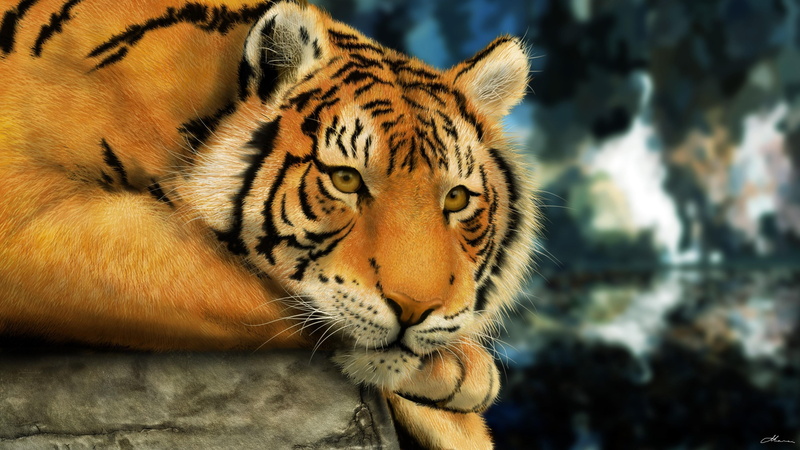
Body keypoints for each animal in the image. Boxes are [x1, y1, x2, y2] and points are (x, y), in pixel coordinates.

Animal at [0, 0, 538, 447]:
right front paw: (463, 374)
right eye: (345, 179)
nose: (416, 309)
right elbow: (250, 291)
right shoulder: (31, 215)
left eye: (456, 198)